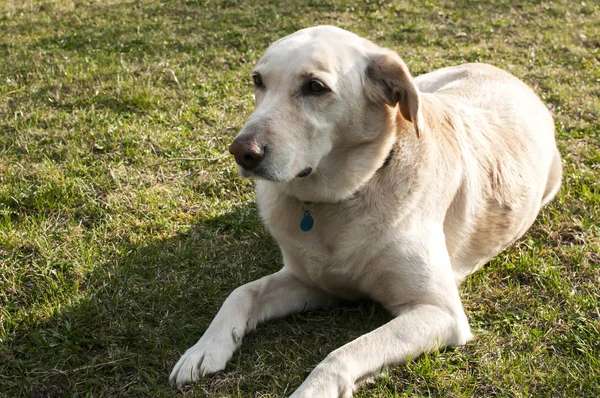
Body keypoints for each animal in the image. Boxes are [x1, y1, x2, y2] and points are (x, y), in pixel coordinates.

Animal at [170, 26, 564, 396]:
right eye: (258, 81)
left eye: (315, 87)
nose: (242, 152)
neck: (343, 197)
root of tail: (503, 72)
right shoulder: (312, 281)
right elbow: (242, 292)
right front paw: (204, 348)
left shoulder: (439, 311)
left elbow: (343, 353)